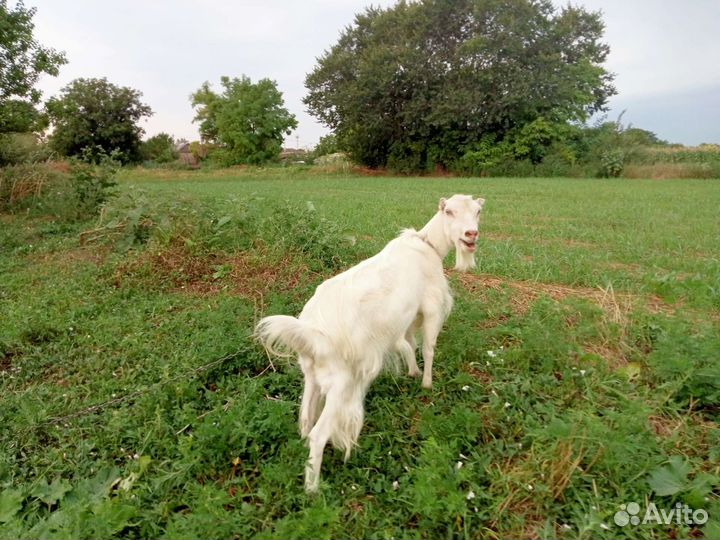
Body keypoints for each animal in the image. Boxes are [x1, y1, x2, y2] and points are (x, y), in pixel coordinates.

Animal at [255, 194, 485, 491]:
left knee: (306, 420)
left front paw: (413, 372)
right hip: (342, 384)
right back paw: (313, 490)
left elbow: (408, 343)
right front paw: (427, 383)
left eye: (478, 211)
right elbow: (428, 347)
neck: (429, 246)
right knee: (318, 434)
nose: (471, 234)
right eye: (450, 211)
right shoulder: (432, 306)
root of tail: (312, 334)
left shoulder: (404, 317)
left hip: (313, 377)